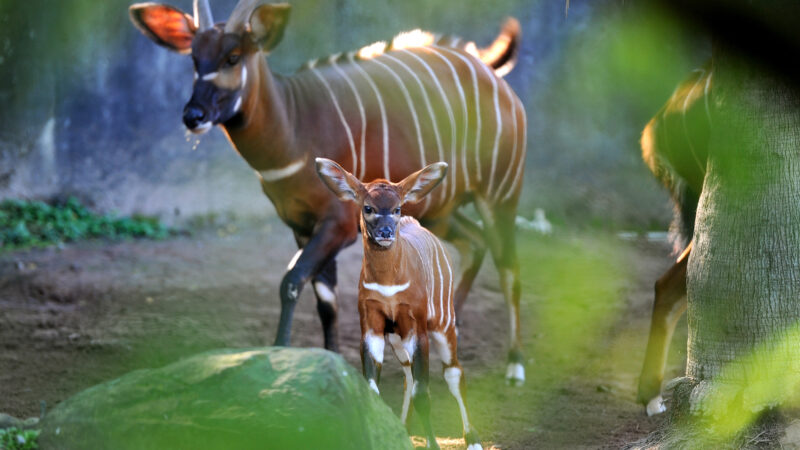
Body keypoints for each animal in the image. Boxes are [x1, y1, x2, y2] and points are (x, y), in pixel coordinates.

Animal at [130, 0, 532, 384]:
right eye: (194, 58)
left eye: (233, 57)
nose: (192, 115)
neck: (294, 127)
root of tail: (490, 72)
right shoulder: (301, 225)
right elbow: (325, 299)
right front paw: (332, 363)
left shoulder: (337, 225)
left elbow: (292, 281)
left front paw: (280, 352)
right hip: (437, 208)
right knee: (473, 244)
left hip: (500, 193)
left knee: (509, 264)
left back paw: (515, 366)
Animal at [316, 158, 482, 450]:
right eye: (368, 207)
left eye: (396, 208)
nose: (385, 233)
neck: (388, 282)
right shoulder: (372, 325)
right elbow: (374, 391)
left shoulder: (418, 328)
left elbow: (423, 394)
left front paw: (433, 444)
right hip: (397, 337)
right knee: (408, 377)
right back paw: (403, 429)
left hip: (443, 325)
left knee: (454, 372)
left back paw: (472, 439)